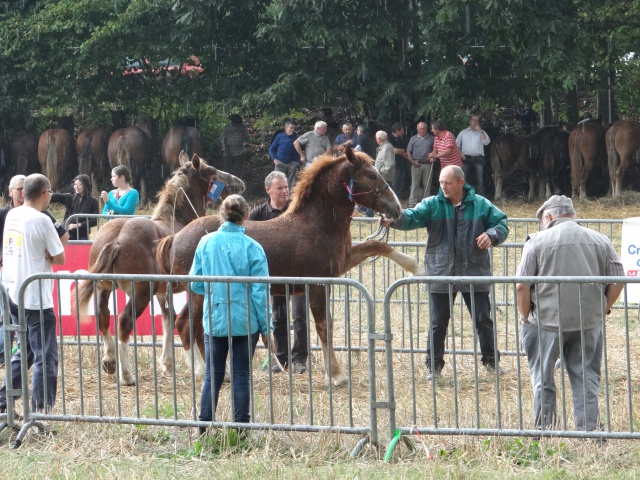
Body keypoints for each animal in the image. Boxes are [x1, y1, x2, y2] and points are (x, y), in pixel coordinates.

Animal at [75, 152, 245, 384]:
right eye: (211, 171)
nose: (239, 183)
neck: (176, 220)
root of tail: (116, 240)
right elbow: (188, 326)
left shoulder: (164, 292)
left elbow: (168, 319)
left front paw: (167, 362)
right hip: (140, 292)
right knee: (124, 322)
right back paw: (127, 374)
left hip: (104, 288)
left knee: (102, 317)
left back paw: (109, 360)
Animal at [155, 147, 424, 386]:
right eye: (371, 175)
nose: (396, 208)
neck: (317, 225)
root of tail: (175, 238)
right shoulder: (318, 286)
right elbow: (324, 327)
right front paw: (336, 375)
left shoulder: (343, 262)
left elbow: (378, 245)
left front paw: (415, 267)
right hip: (198, 291)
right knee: (185, 325)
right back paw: (200, 370)